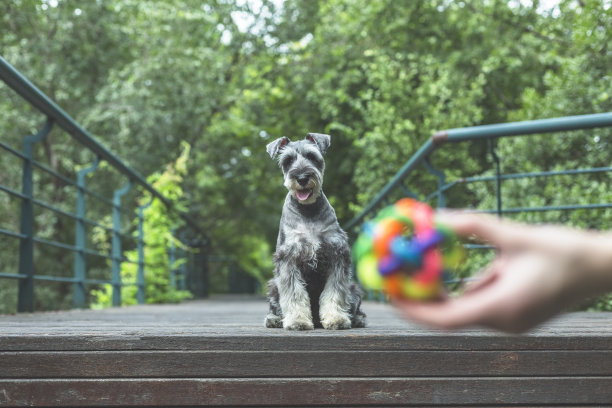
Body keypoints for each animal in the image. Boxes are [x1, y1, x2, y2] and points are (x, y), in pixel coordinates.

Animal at [262, 132, 364, 330]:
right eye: (287, 160)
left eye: (312, 156)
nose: (302, 177)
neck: (308, 211)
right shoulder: (288, 258)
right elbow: (294, 294)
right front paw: (298, 320)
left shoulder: (337, 255)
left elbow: (334, 293)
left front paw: (336, 318)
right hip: (273, 285)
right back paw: (274, 319)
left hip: (354, 287)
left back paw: (356, 319)